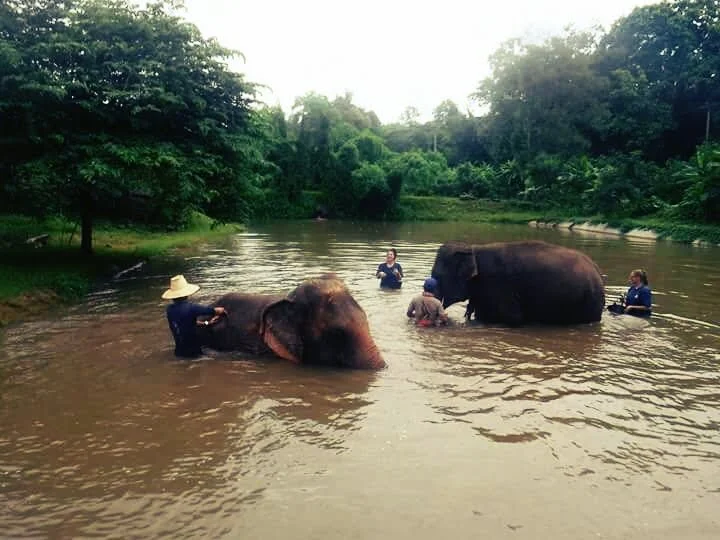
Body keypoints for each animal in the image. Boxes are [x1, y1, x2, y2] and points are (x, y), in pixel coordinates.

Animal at [431, 240, 605, 325]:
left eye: (438, 276)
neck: (473, 249)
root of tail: (596, 268)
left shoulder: (499, 285)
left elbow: (512, 319)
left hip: (590, 301)